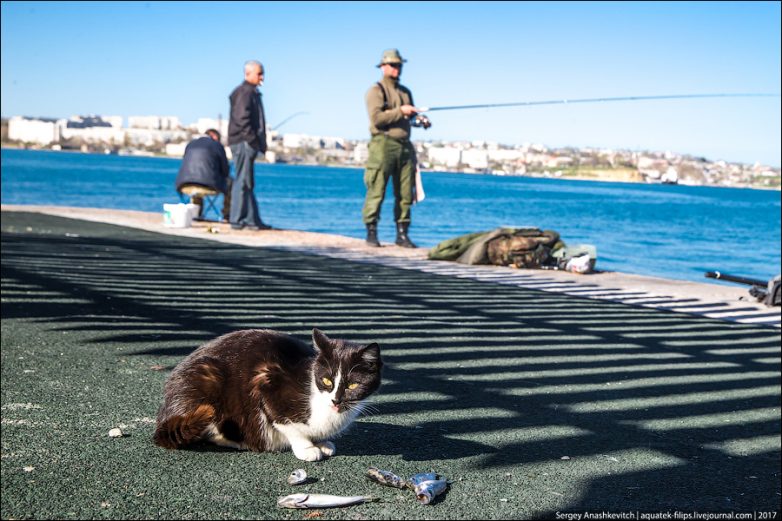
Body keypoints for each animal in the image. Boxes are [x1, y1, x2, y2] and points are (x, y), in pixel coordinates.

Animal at [153, 328, 382, 462]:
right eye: (326, 381)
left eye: (352, 384)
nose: (335, 400)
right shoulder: (267, 383)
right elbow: (288, 425)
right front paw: (307, 448)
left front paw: (322, 442)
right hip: (207, 381)